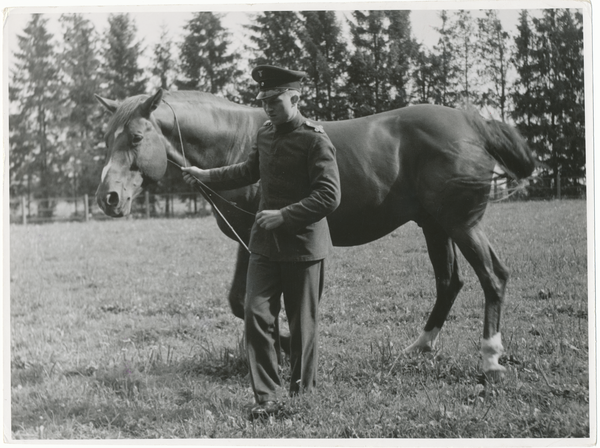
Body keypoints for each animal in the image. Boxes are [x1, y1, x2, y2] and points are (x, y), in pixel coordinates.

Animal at [96, 89, 536, 380]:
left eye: (136, 137)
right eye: (106, 138)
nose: (108, 198)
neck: (237, 142)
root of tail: (475, 124)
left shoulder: (259, 238)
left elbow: (261, 304)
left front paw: (285, 349)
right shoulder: (249, 240)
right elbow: (240, 301)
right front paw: (283, 346)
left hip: (461, 224)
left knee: (492, 277)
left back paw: (490, 359)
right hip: (435, 226)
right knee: (450, 282)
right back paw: (419, 347)